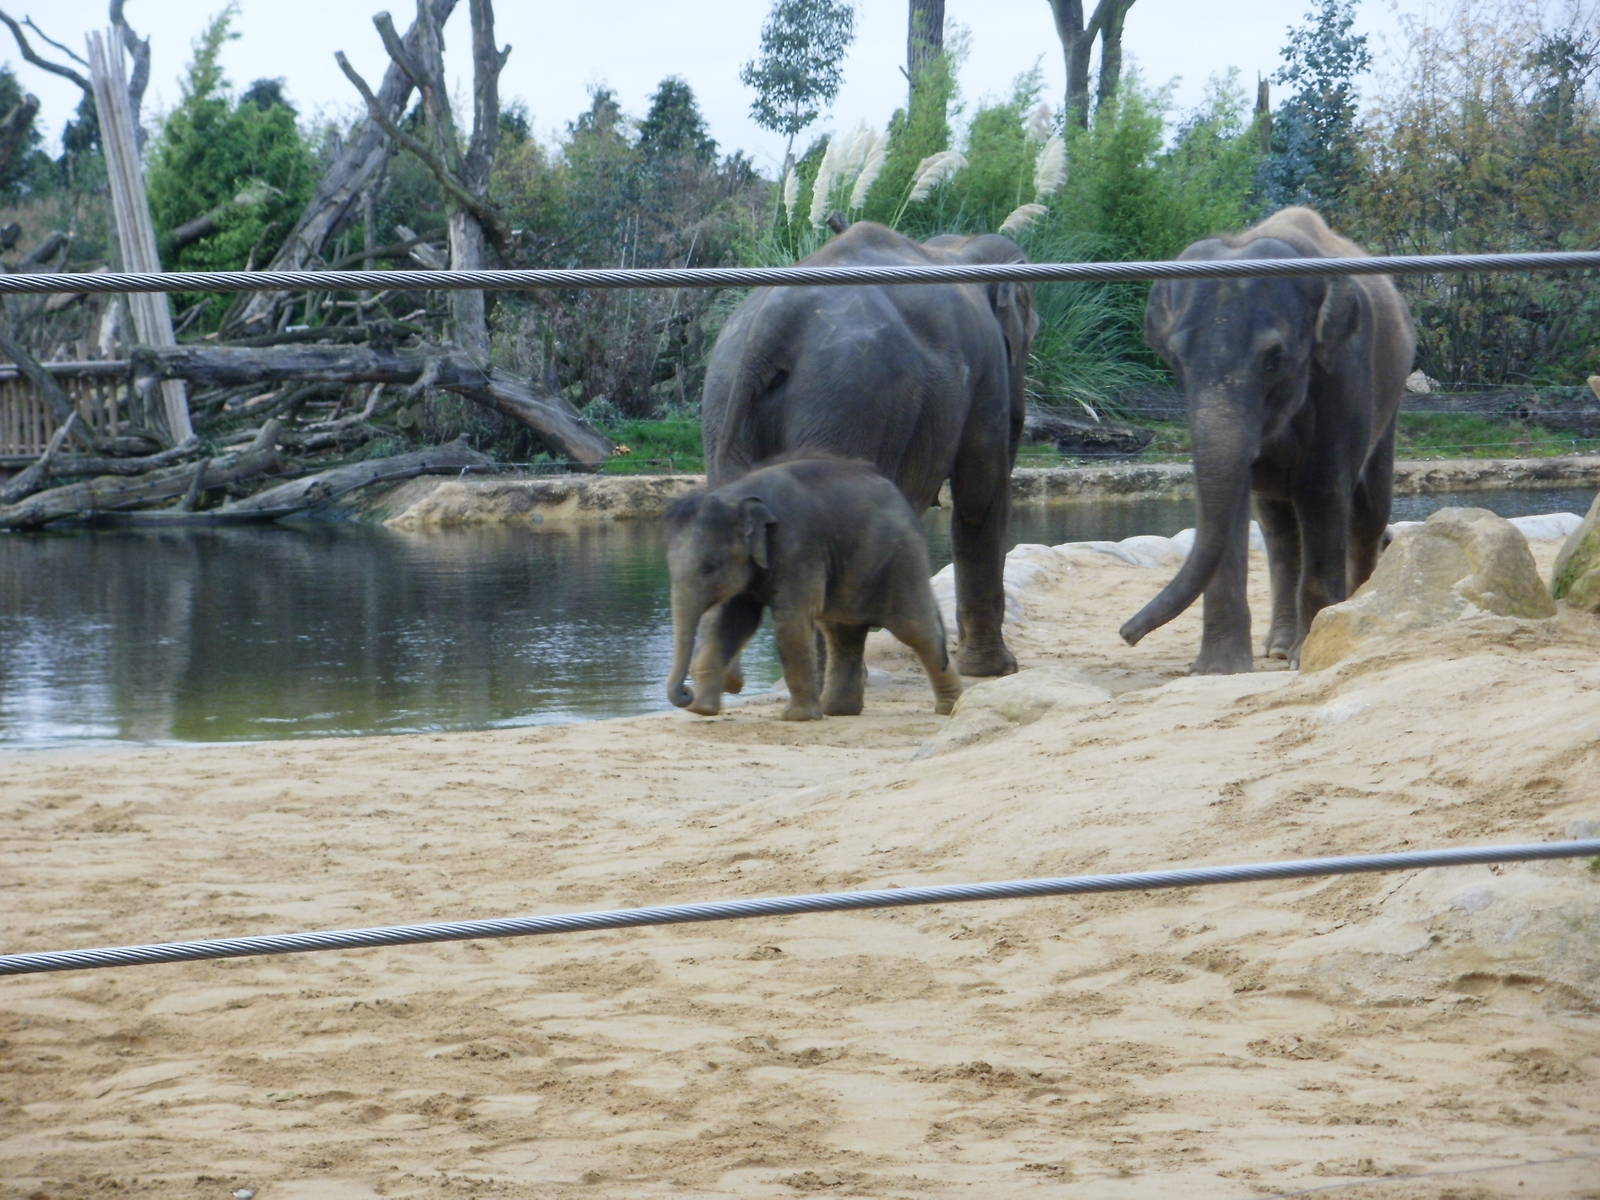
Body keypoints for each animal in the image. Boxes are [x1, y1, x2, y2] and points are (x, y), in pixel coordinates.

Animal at [664, 455, 963, 722]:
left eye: (709, 567)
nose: (686, 693)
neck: (739, 493)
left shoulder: (798, 547)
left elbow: (791, 623)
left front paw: (796, 717)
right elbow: (732, 622)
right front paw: (702, 710)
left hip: (901, 562)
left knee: (916, 629)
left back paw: (949, 707)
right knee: (841, 633)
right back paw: (838, 711)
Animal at [700, 219, 1037, 678]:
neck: (956, 248)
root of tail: (771, 323)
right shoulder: (986, 369)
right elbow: (978, 496)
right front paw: (994, 671)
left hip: (726, 394)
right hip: (846, 393)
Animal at [1120, 206, 1417, 673]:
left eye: (1274, 359)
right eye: (1177, 359)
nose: (1126, 634)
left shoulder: (1343, 374)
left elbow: (1322, 490)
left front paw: (1307, 656)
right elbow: (1232, 499)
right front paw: (1218, 671)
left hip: (1388, 403)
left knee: (1368, 512)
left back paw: (1346, 618)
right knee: (1278, 528)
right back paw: (1278, 646)